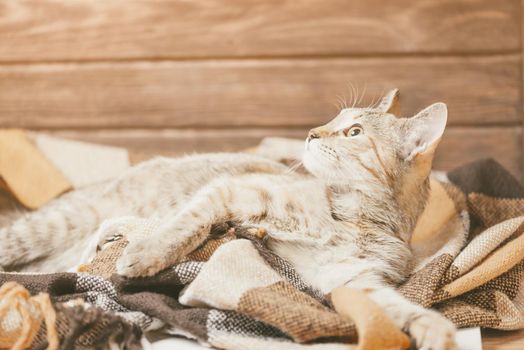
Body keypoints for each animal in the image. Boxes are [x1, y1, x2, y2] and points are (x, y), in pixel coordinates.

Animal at [1, 89, 454, 348]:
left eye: (354, 132)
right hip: (45, 228)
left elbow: (396, 308)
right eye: (335, 121)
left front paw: (433, 328)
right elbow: (184, 226)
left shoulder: (353, 282)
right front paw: (146, 254)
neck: (348, 216)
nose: (311, 133)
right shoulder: (230, 192)